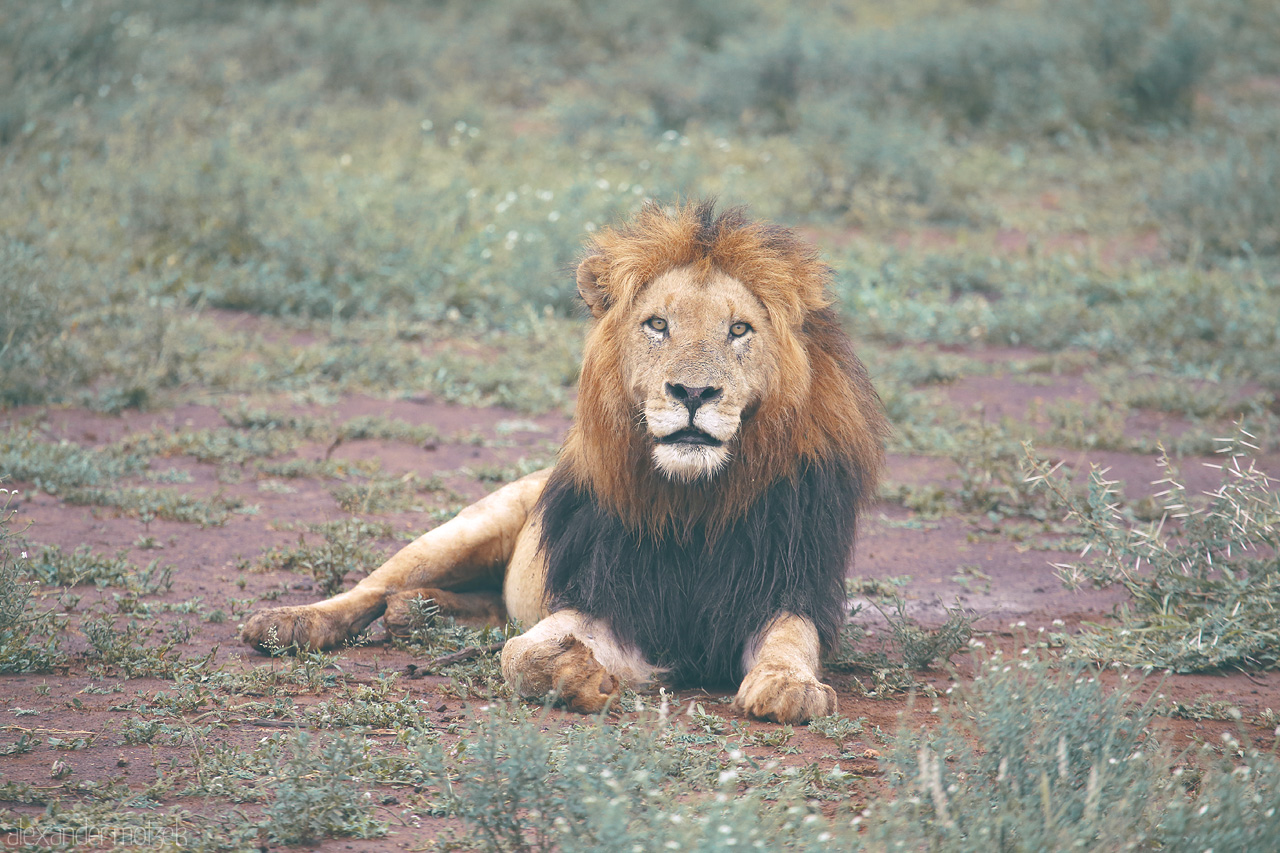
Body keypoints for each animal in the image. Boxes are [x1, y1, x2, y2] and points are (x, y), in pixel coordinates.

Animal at [240, 201, 885, 722]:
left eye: (740, 330)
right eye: (657, 324)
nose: (693, 393)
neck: (694, 503)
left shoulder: (788, 586)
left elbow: (790, 642)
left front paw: (788, 687)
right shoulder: (609, 597)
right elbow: (521, 651)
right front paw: (574, 673)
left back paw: (420, 614)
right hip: (468, 527)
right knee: (373, 588)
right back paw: (293, 622)